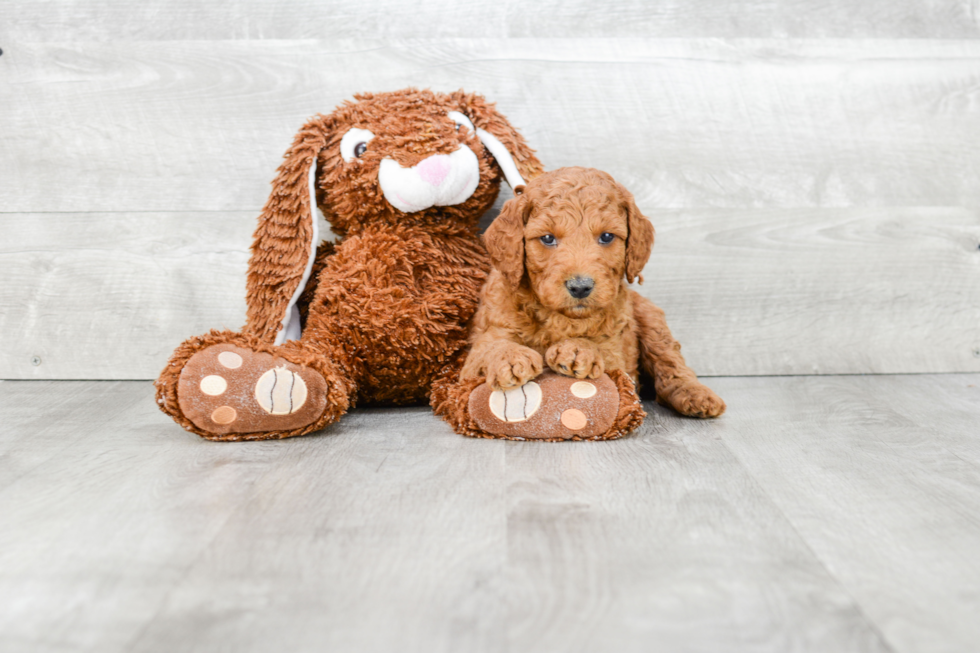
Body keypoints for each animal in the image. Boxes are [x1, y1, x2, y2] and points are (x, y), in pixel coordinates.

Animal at [462, 166, 728, 426]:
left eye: (607, 237)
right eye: (547, 238)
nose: (580, 287)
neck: (560, 318)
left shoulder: (618, 359)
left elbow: (601, 352)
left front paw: (578, 349)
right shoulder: (477, 353)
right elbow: (489, 348)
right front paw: (510, 357)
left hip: (651, 319)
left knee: (671, 363)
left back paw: (696, 395)